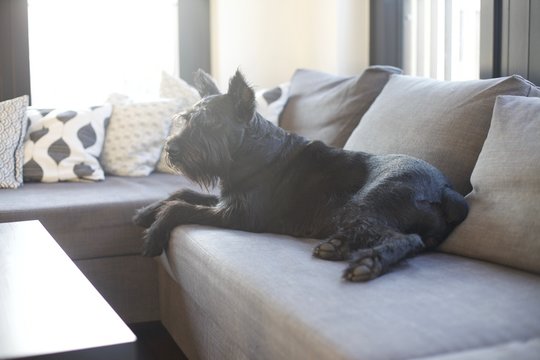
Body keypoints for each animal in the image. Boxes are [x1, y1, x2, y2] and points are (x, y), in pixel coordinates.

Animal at [135, 68, 468, 282]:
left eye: (212, 124)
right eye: (187, 118)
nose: (171, 149)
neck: (251, 152)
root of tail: (446, 190)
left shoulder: (239, 215)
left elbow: (180, 206)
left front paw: (154, 233)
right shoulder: (225, 200)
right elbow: (180, 194)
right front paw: (145, 212)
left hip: (365, 204)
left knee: (406, 238)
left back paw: (368, 263)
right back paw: (336, 247)